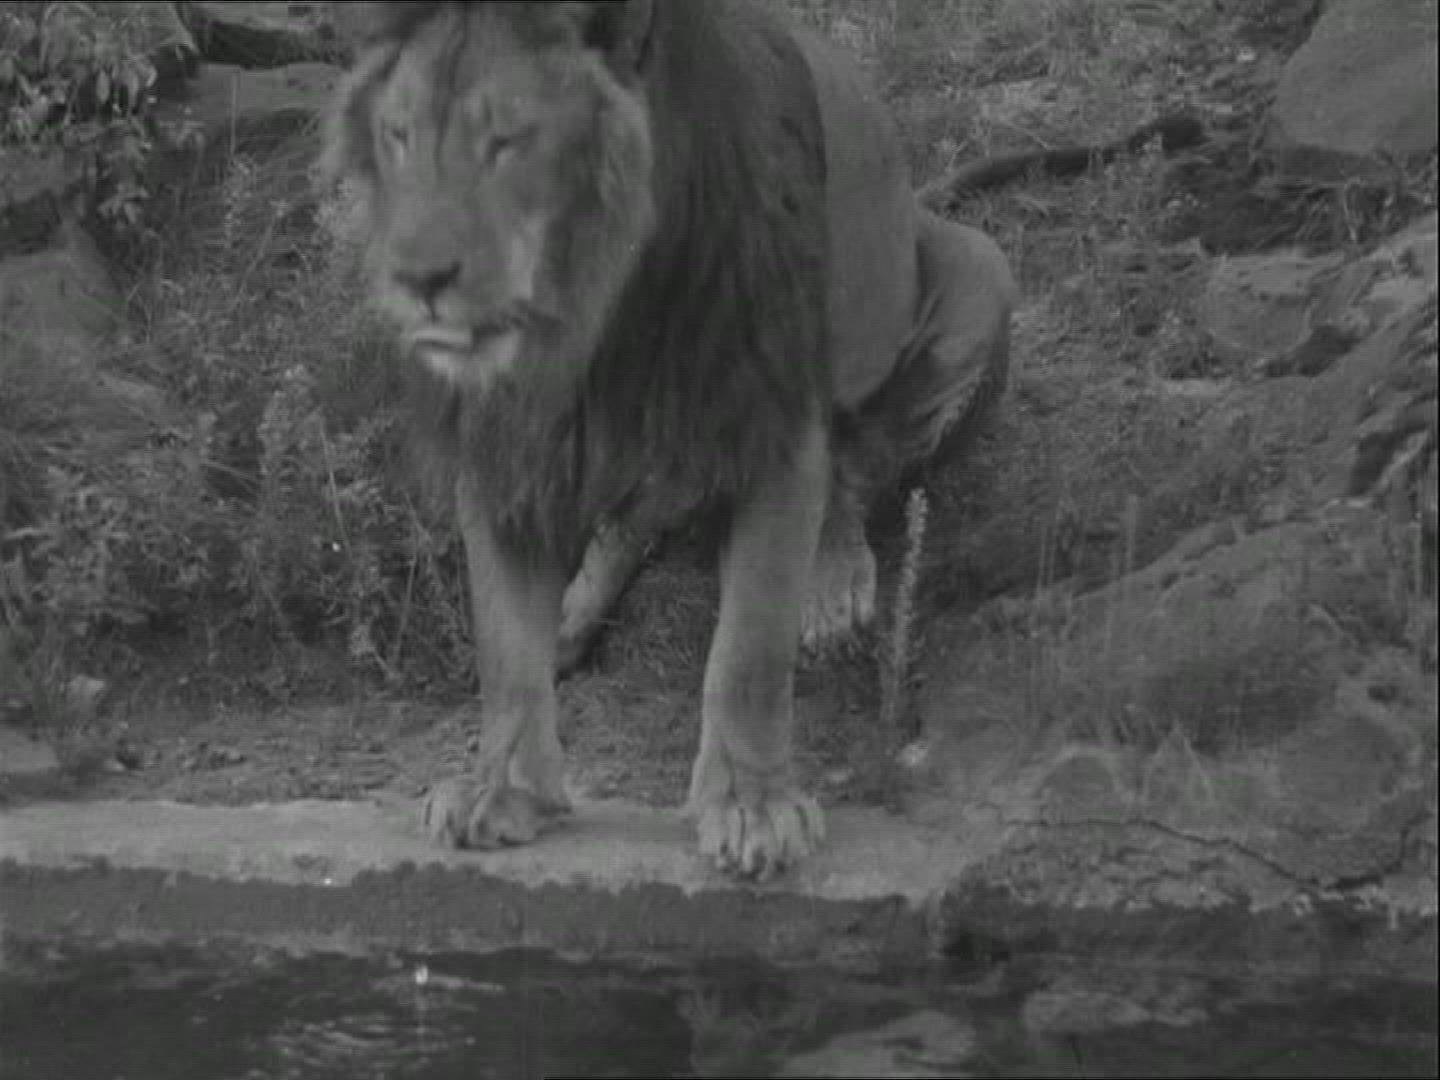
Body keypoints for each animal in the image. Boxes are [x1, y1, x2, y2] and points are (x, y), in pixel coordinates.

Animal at [323, 0, 1016, 879]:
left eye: (507, 140)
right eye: (400, 136)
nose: (417, 277)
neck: (593, 312)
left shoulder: (774, 422)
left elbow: (750, 647)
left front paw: (753, 807)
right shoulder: (499, 444)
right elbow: (504, 644)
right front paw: (502, 789)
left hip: (979, 272)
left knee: (857, 468)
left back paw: (831, 581)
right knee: (633, 520)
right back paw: (574, 614)